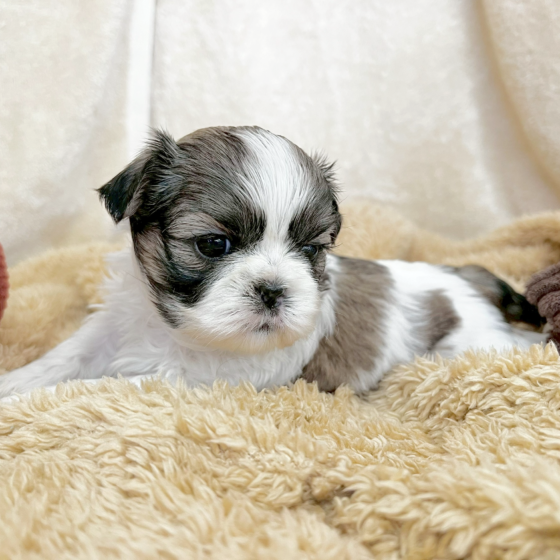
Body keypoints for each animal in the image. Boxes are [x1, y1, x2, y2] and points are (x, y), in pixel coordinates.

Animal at [0, 126, 546, 399]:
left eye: (311, 250)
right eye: (214, 245)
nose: (273, 289)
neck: (175, 332)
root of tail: (465, 277)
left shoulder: (204, 378)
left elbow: (96, 386)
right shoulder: (113, 326)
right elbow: (65, 359)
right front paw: (15, 384)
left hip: (469, 345)